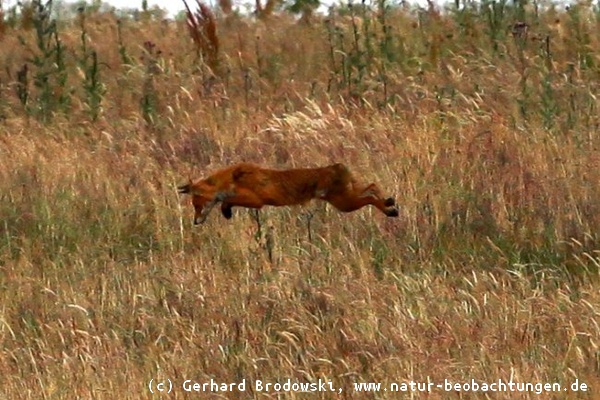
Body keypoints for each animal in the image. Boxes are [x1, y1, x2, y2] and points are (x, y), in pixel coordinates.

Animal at [177, 162, 398, 225]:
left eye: (197, 205)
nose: (195, 222)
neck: (231, 178)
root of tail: (338, 166)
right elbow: (227, 201)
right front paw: (226, 212)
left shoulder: (256, 201)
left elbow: (228, 200)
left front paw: (226, 211)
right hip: (346, 200)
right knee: (372, 187)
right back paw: (390, 204)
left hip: (345, 204)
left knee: (371, 195)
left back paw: (390, 209)